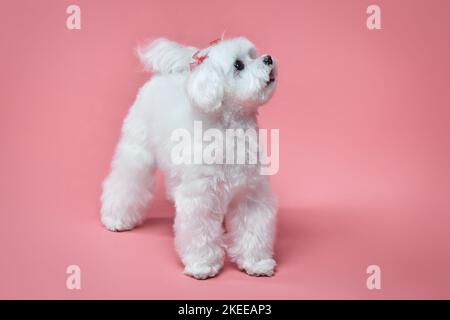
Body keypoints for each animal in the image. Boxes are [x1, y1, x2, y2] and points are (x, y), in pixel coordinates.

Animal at [101, 36, 278, 278]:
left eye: (254, 55)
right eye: (238, 65)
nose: (268, 58)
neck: (230, 130)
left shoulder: (249, 193)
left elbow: (253, 228)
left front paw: (256, 262)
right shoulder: (201, 195)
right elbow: (200, 232)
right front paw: (203, 264)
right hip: (137, 151)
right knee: (125, 182)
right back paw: (117, 218)